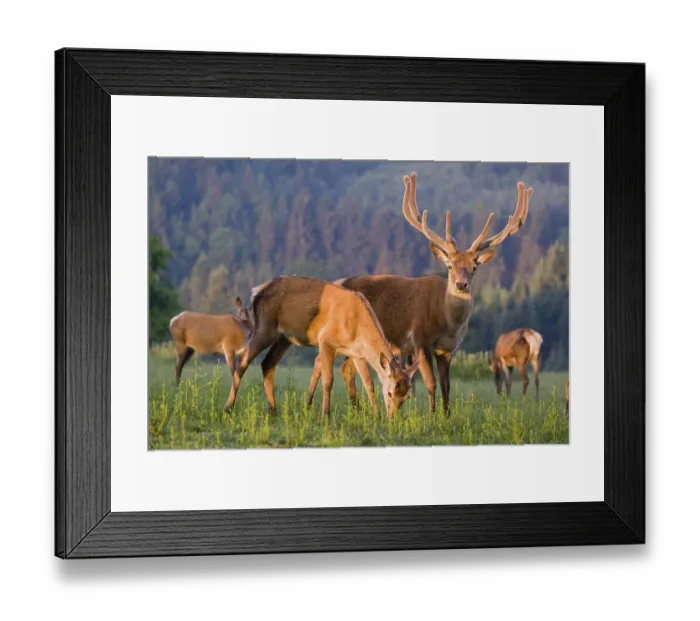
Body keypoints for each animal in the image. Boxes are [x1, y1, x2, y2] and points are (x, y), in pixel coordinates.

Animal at [224, 276, 420, 419]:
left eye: (406, 396)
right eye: (390, 392)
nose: (392, 418)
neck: (357, 326)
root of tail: (256, 292)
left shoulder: (357, 352)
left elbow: (368, 382)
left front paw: (376, 416)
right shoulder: (325, 340)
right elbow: (328, 380)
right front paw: (326, 415)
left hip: (284, 337)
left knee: (267, 363)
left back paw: (273, 410)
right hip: (265, 327)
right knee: (243, 363)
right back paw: (228, 408)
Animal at [307, 172, 532, 415]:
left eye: (474, 267)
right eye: (450, 266)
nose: (461, 284)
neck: (446, 322)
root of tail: (337, 282)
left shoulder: (448, 349)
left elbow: (446, 385)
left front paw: (447, 415)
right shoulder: (419, 339)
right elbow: (430, 383)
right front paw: (433, 416)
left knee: (341, 369)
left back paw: (349, 410)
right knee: (328, 364)